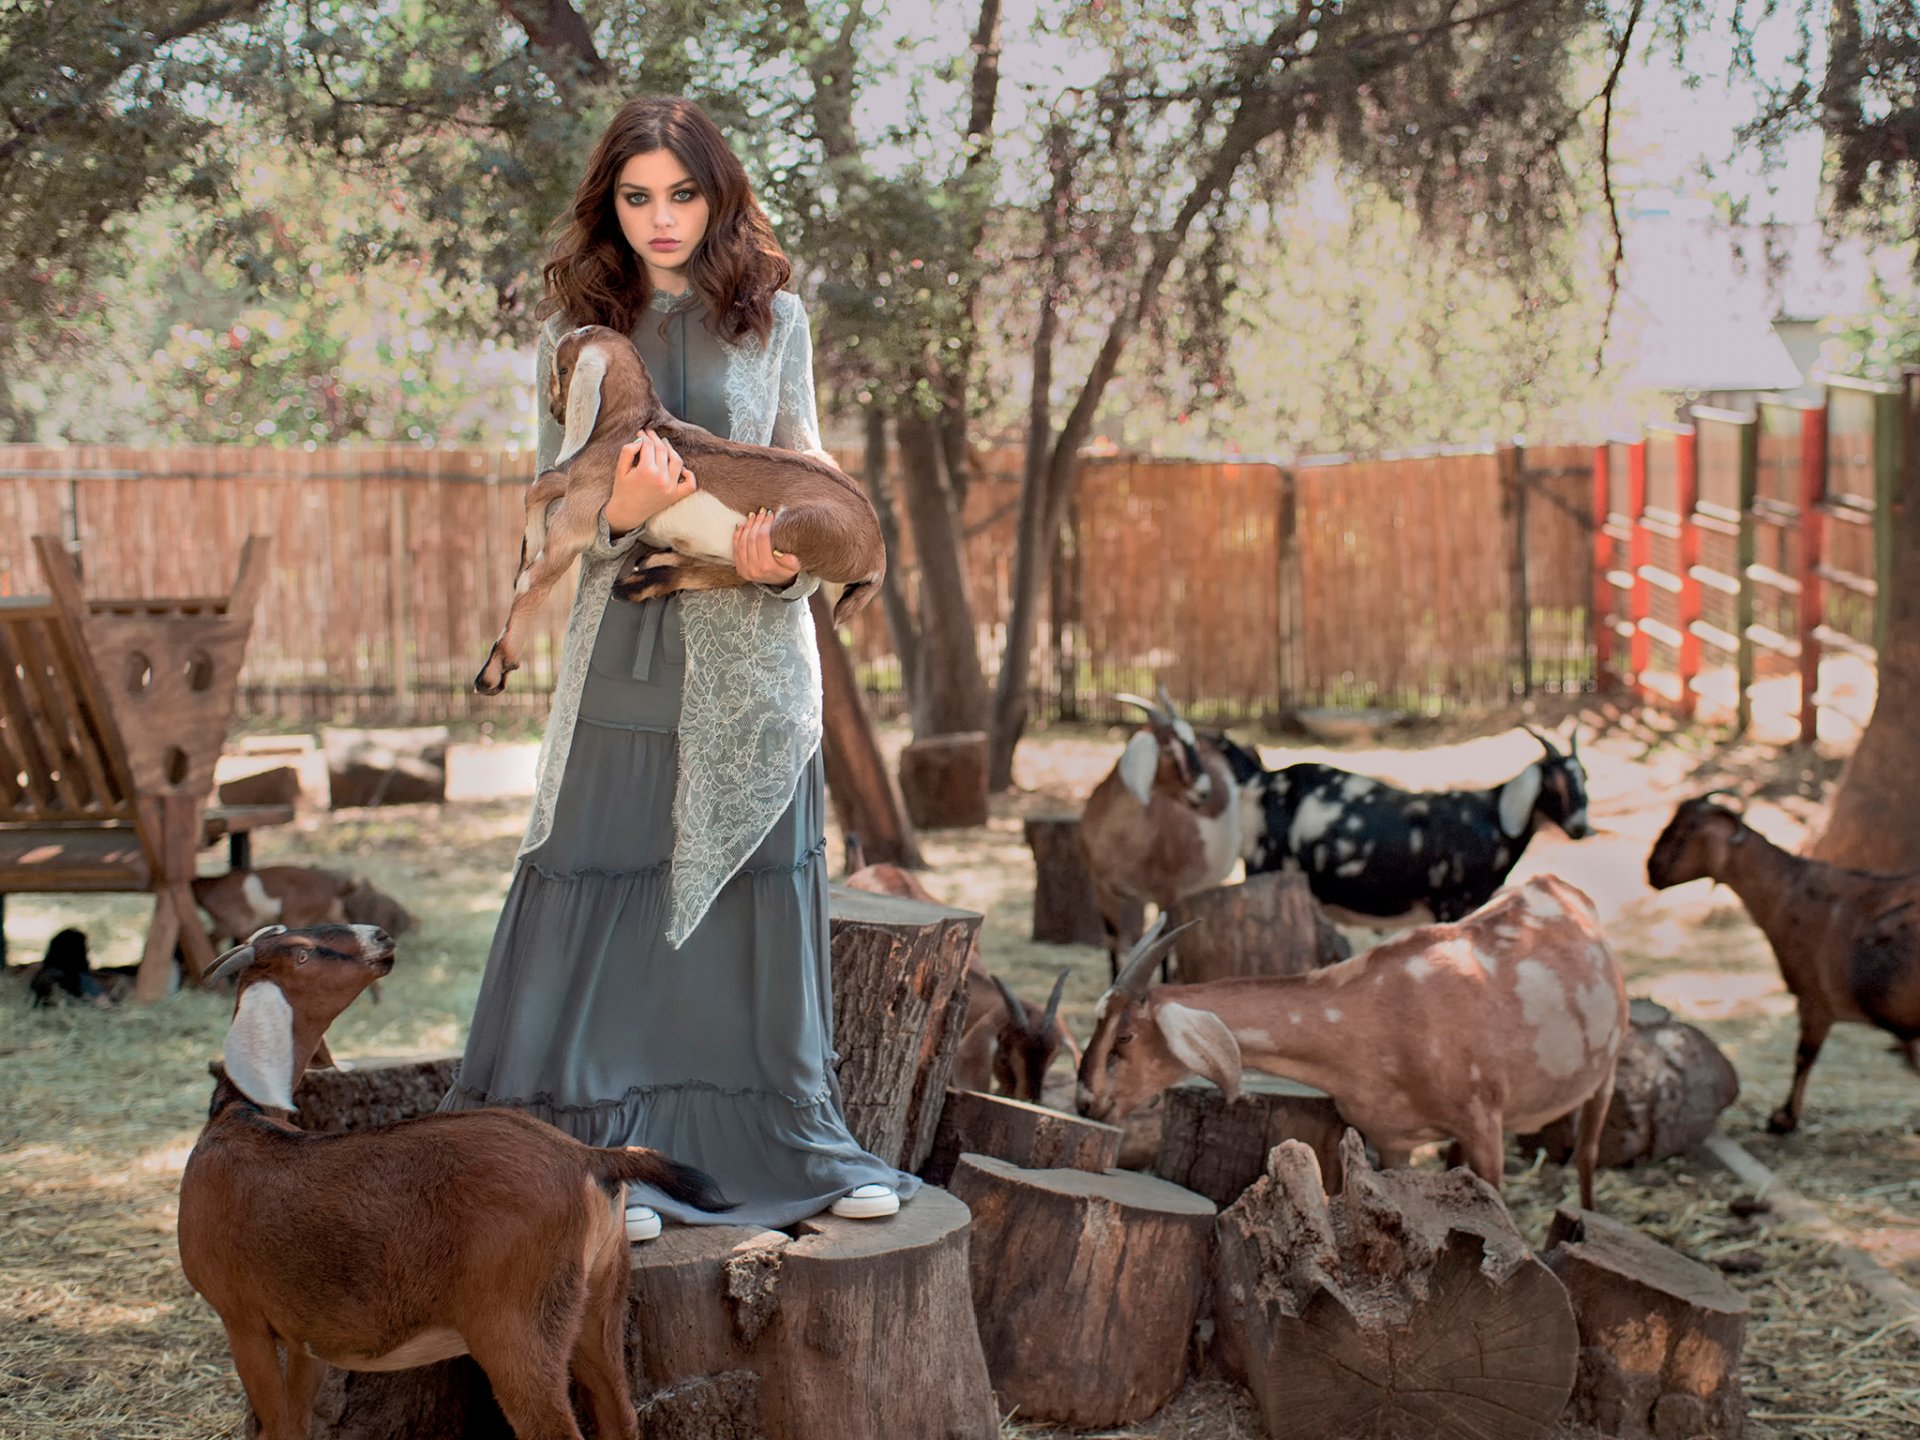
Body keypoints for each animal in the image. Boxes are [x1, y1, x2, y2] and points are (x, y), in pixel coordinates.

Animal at [1244, 725, 1589, 929]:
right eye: (1552, 784)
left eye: (1584, 777)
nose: (1582, 829)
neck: (1491, 816)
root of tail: (1264, 780)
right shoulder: (1450, 905)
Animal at [1643, 794, 1920, 1136]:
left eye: (1685, 832)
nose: (1652, 870)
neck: (1787, 895)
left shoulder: (1815, 1000)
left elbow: (1803, 1058)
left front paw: (1783, 1119)